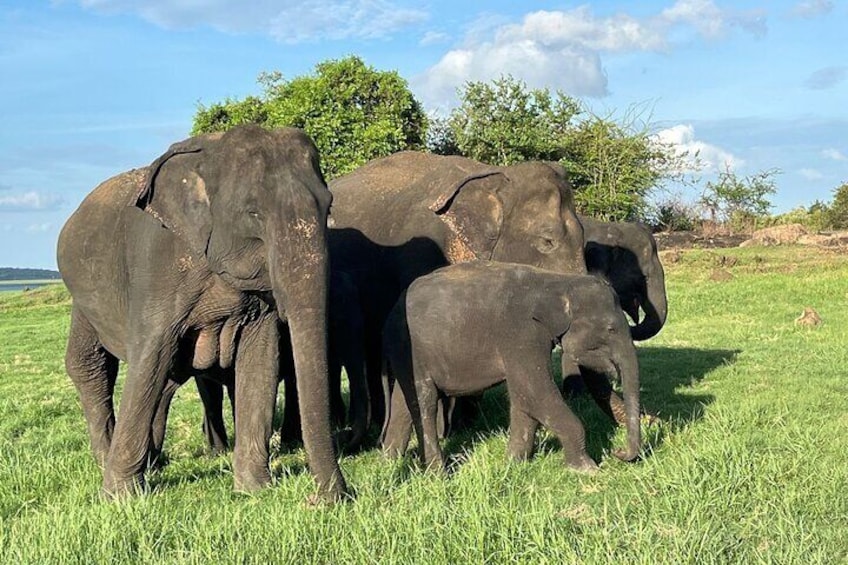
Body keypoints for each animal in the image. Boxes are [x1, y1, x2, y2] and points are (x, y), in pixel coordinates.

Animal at [58, 125, 346, 500]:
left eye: (328, 205)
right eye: (253, 213)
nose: (325, 499)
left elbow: (262, 358)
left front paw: (254, 491)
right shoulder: (159, 265)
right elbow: (150, 357)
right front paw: (119, 498)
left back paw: (153, 462)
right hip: (82, 297)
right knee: (91, 365)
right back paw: (106, 458)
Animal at [380, 262, 640, 474]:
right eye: (611, 329)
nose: (617, 452)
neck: (557, 281)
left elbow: (522, 397)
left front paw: (513, 464)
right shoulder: (520, 333)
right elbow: (535, 392)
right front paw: (588, 470)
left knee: (404, 402)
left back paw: (390, 461)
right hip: (410, 349)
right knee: (425, 402)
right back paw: (437, 473)